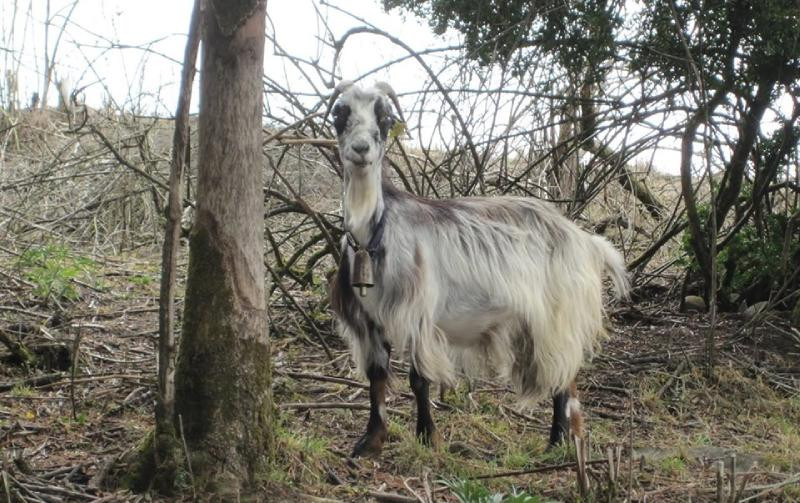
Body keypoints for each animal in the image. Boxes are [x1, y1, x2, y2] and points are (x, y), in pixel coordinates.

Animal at [328, 81, 628, 456]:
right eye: (340, 113)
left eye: (384, 117)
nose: (360, 148)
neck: (375, 235)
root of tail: (586, 240)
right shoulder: (369, 319)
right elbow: (377, 377)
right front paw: (371, 441)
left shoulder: (419, 313)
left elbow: (418, 379)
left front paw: (428, 436)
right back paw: (560, 440)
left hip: (557, 315)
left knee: (563, 375)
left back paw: (558, 441)